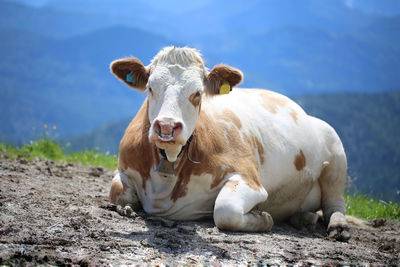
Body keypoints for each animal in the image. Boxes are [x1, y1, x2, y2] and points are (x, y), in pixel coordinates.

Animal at [109, 47, 350, 242]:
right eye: (150, 88)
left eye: (198, 93)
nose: (167, 127)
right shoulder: (125, 167)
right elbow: (116, 191)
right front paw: (127, 208)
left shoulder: (249, 178)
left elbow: (226, 211)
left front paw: (264, 217)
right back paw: (304, 218)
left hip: (335, 149)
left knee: (334, 202)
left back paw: (338, 227)